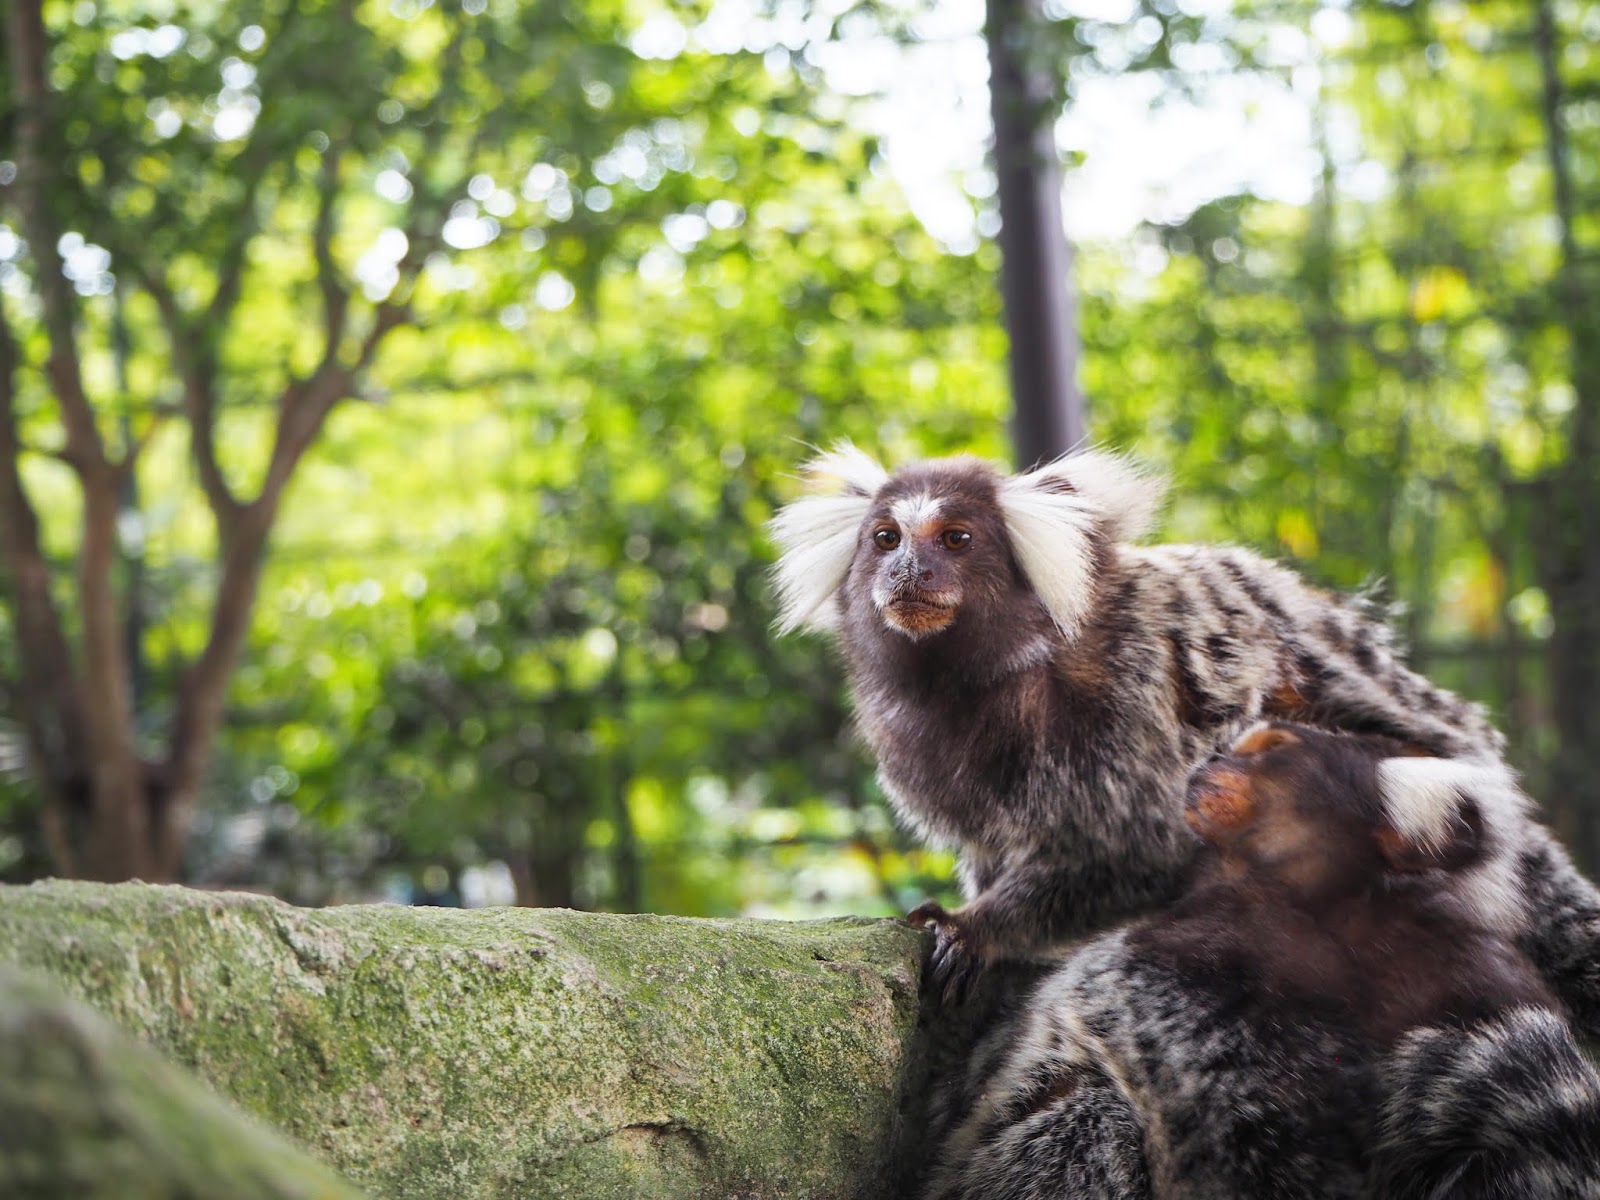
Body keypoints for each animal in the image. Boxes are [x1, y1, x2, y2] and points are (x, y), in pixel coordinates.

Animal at [764, 448, 1600, 1024]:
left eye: (955, 538)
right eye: (885, 538)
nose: (907, 569)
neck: (994, 677)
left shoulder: (1128, 697)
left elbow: (1147, 849)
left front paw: (981, 929)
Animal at [928, 723, 1600, 1200]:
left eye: (1273, 749)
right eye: (1233, 746)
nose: (1212, 761)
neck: (1326, 916)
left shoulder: (1477, 970)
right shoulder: (1186, 945)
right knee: (1093, 1115)